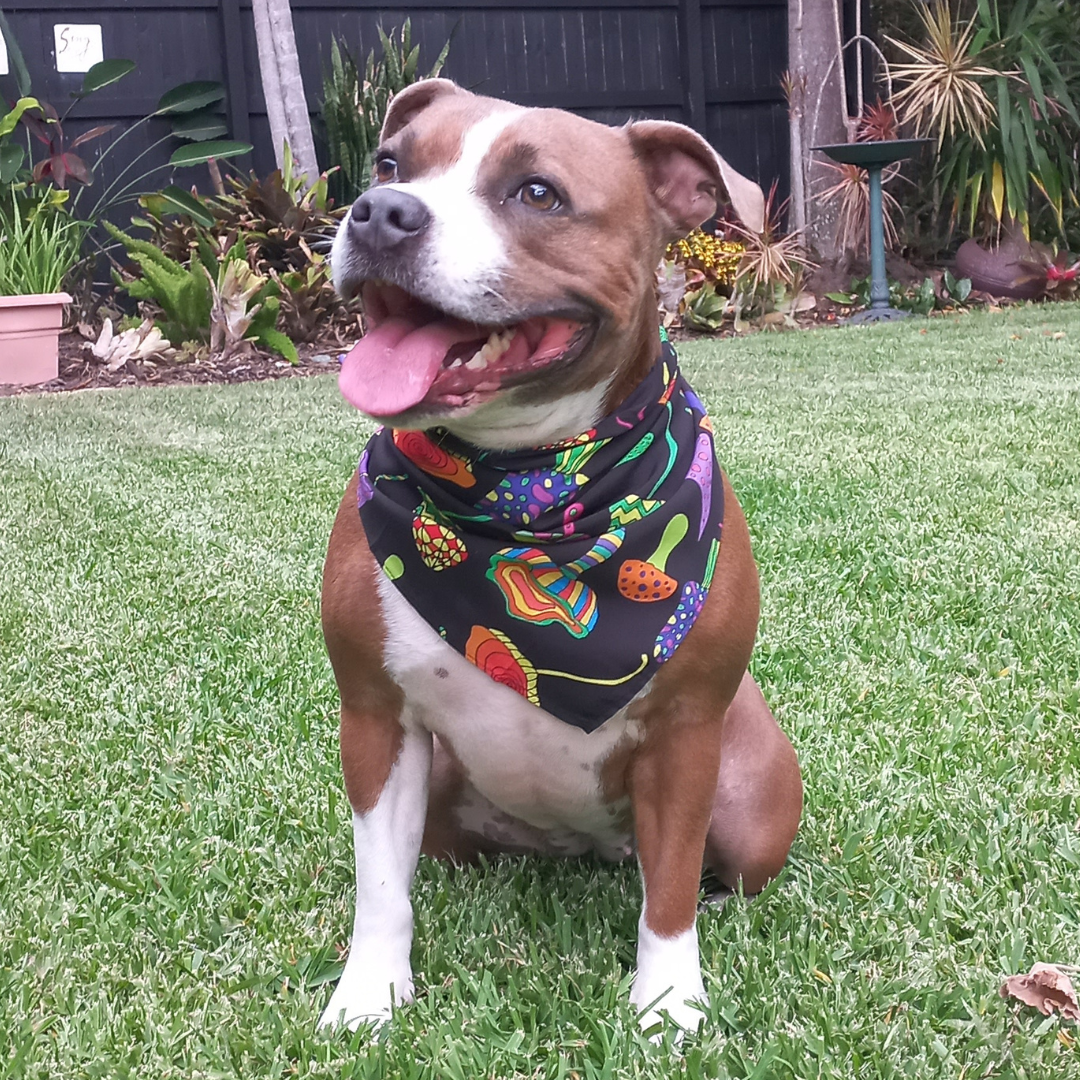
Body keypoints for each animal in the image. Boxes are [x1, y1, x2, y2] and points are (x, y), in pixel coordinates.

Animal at [315, 76, 799, 1036]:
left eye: (537, 193)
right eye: (390, 163)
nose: (381, 212)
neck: (531, 489)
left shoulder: (685, 736)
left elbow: (670, 892)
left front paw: (668, 1005)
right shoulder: (376, 720)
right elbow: (381, 888)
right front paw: (370, 997)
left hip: (754, 813)